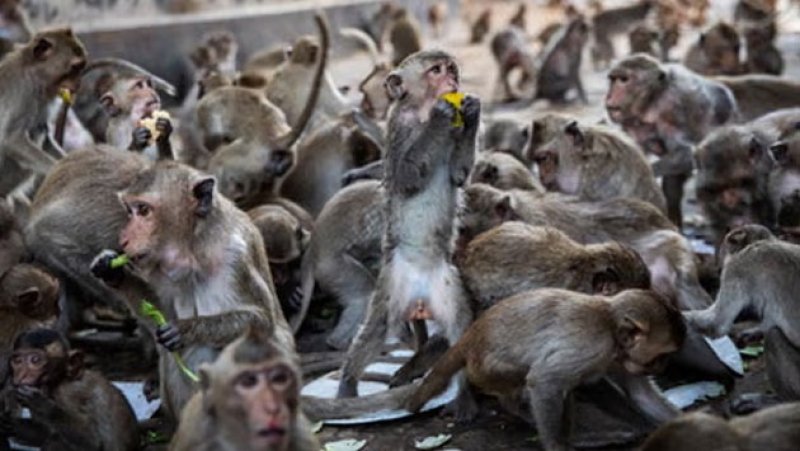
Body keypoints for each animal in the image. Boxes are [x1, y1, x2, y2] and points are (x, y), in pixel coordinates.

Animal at [0, 28, 87, 197]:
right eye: (74, 68)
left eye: (81, 68)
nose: (79, 84)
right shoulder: (23, 92)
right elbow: (11, 139)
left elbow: (46, 138)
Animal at [0, 328, 139, 451]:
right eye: (17, 361)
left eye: (35, 360)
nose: (21, 375)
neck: (58, 381)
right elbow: (44, 432)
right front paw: (9, 423)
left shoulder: (68, 393)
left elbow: (92, 441)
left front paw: (41, 404)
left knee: (56, 442)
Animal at [336, 50, 479, 408]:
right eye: (436, 70)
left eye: (451, 68)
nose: (453, 79)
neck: (423, 110)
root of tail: (420, 297)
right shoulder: (398, 127)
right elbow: (405, 178)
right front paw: (442, 115)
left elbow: (458, 174)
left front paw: (473, 111)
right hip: (391, 285)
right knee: (376, 328)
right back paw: (347, 386)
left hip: (447, 285)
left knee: (460, 327)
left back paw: (464, 396)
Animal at [406, 288, 686, 450]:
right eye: (661, 356)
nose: (663, 366)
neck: (611, 325)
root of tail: (471, 335)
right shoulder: (593, 346)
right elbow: (544, 380)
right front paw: (555, 446)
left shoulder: (618, 357)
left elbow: (641, 395)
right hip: (484, 369)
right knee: (536, 376)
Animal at [605, 54, 738, 226]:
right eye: (613, 79)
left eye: (624, 79)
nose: (609, 95)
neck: (653, 99)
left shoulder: (673, 108)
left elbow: (684, 153)